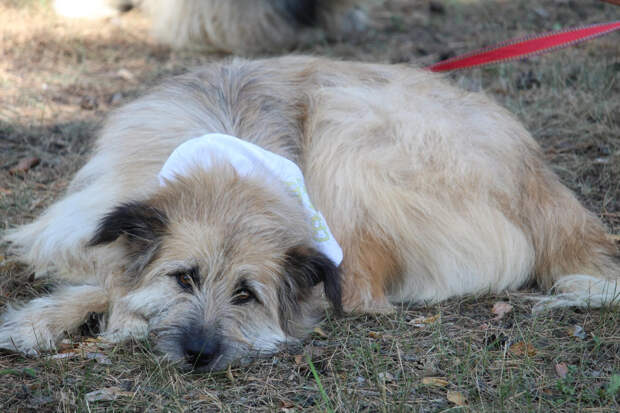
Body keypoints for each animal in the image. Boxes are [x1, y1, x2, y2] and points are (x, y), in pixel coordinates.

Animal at [1, 56, 620, 368]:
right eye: (184, 279)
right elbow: (99, 269)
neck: (229, 154)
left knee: (365, 294)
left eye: (246, 295)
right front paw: (42, 319)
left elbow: (113, 283)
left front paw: (118, 316)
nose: (201, 353)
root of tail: (539, 177)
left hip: (350, 135)